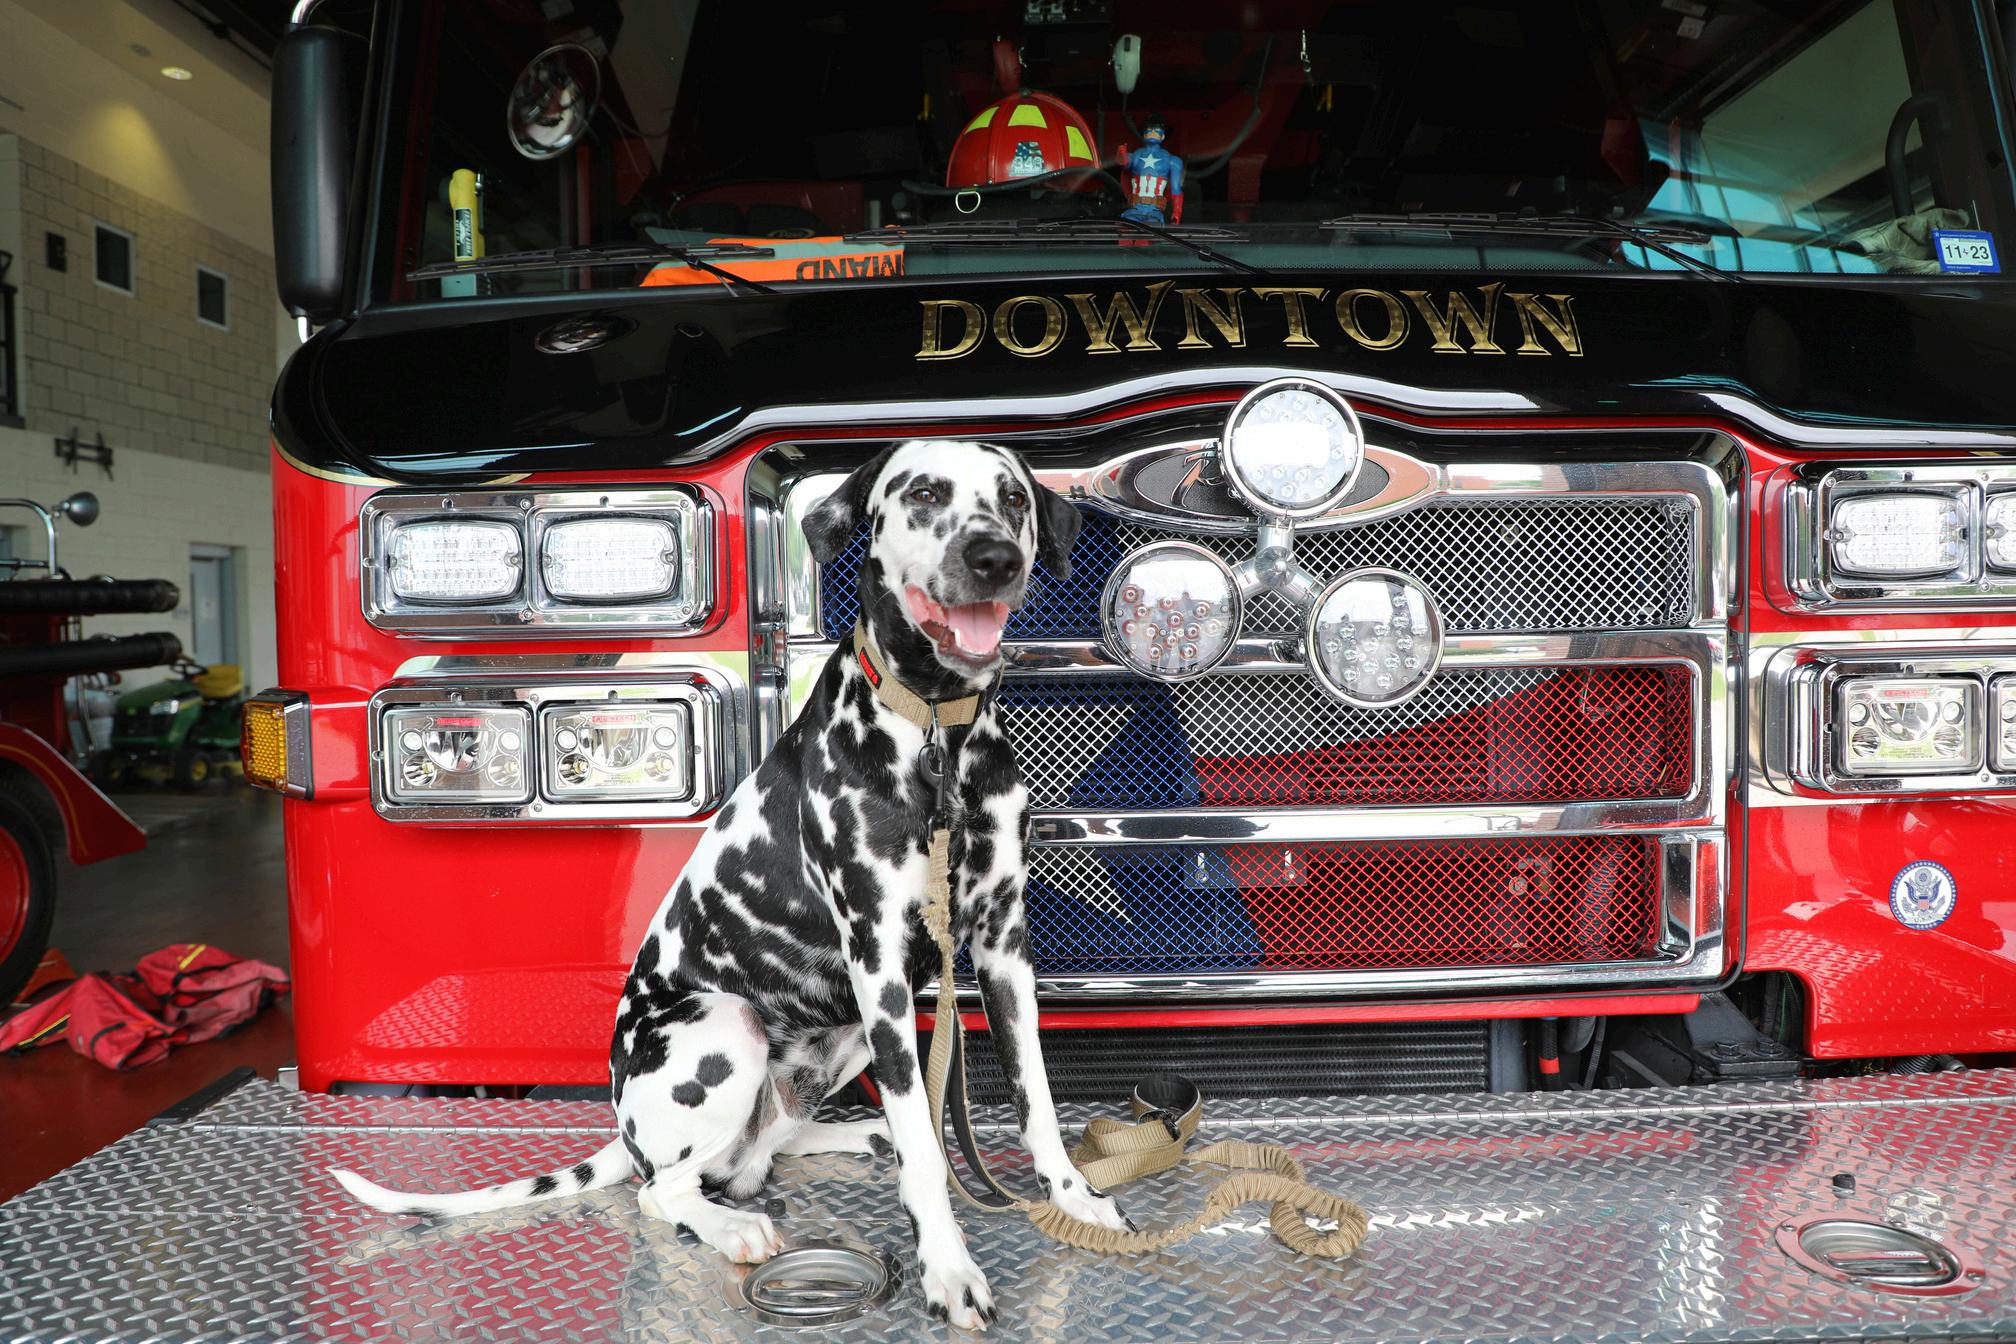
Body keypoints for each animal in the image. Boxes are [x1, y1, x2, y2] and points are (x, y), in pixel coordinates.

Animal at [335, 440, 1127, 1329]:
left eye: (1013, 499)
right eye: (923, 493)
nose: (994, 558)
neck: (934, 735)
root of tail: (626, 1127)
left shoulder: (1000, 951)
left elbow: (1038, 1102)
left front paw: (1073, 1198)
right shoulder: (881, 963)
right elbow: (929, 1156)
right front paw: (949, 1267)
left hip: (844, 1035)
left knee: (771, 1146)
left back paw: (856, 1138)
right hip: (730, 1028)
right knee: (667, 1189)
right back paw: (731, 1222)